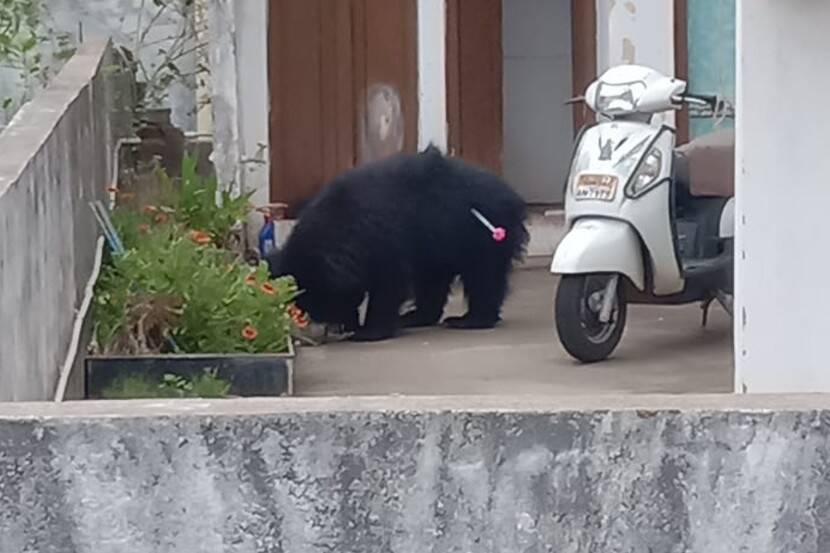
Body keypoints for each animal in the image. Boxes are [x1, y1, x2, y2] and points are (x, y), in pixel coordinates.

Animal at [264, 144, 528, 340]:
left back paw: (470, 320)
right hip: (439, 247)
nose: (338, 326)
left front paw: (368, 331)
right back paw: (415, 316)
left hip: (479, 234)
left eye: (327, 301)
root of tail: (512, 196)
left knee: (483, 276)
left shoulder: (385, 239)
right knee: (432, 282)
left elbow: (389, 283)